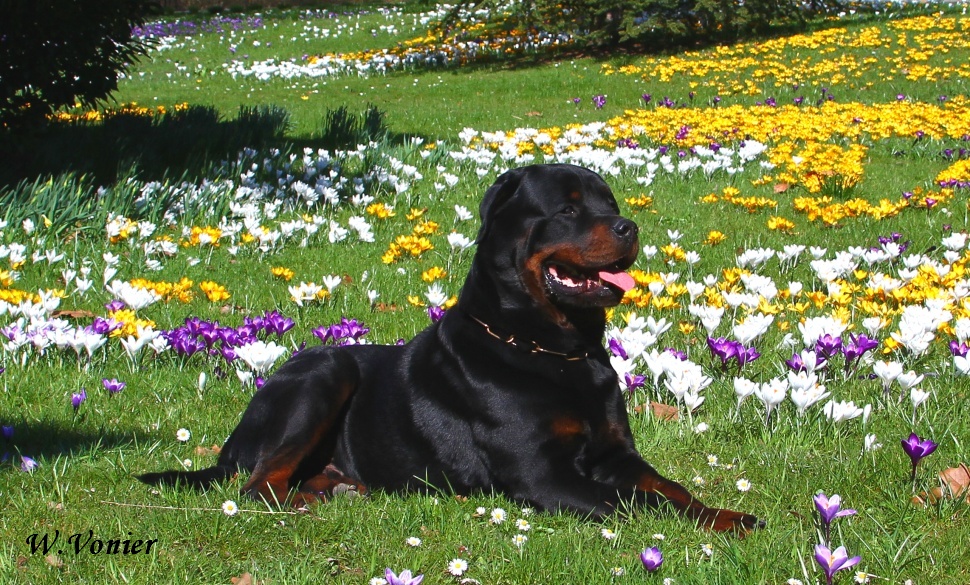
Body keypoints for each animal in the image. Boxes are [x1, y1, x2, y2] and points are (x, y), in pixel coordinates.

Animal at [140, 162, 760, 532]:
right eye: (568, 209)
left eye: (610, 204)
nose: (629, 226)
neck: (555, 351)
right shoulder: (541, 473)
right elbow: (641, 503)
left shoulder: (615, 453)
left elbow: (671, 488)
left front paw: (729, 516)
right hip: (326, 368)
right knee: (258, 481)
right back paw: (300, 500)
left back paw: (336, 488)